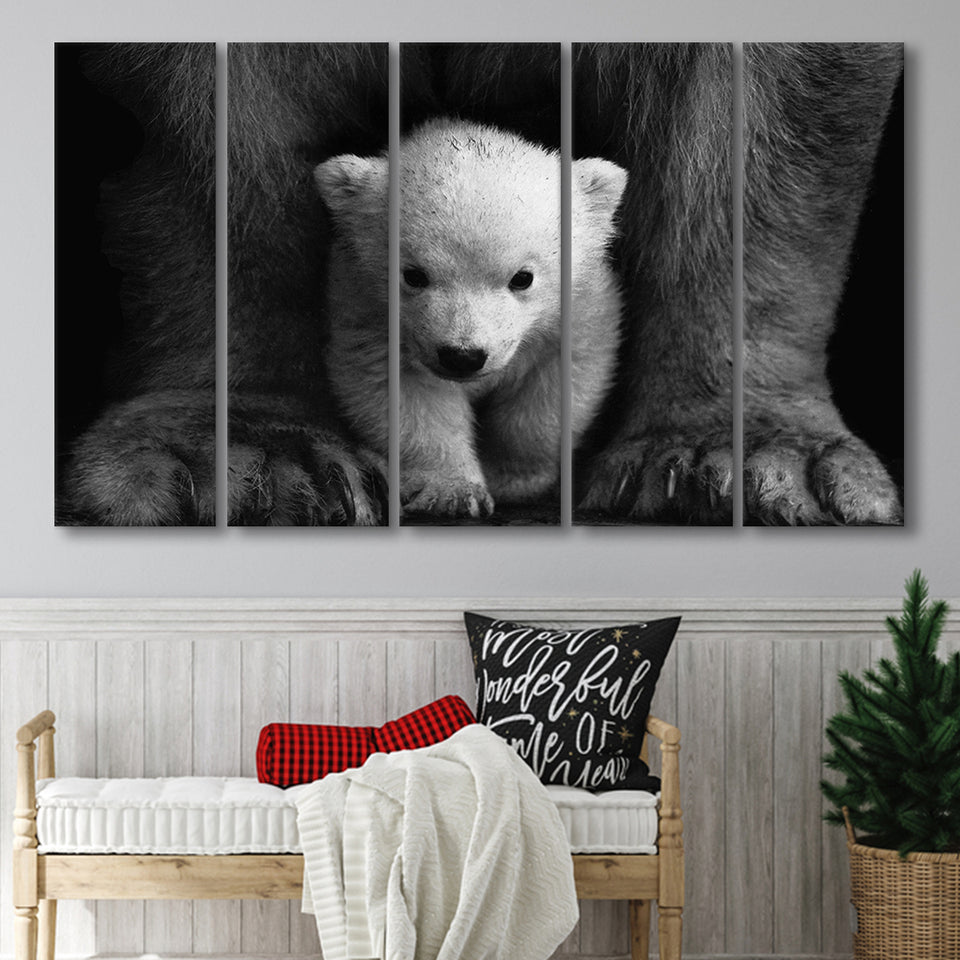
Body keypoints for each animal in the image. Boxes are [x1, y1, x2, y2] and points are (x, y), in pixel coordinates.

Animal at [314, 118, 626, 521]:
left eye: (522, 278)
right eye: (413, 275)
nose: (463, 356)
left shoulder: (578, 310)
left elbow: (554, 388)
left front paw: (511, 478)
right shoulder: (368, 311)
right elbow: (405, 394)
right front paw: (452, 491)